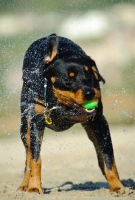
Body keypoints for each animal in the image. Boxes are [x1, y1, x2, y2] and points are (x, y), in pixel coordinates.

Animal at [18, 34, 124, 194]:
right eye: (68, 78)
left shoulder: (99, 121)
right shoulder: (36, 121)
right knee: (28, 155)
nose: (90, 93)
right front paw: (34, 187)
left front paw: (117, 186)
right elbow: (35, 159)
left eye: (89, 73)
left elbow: (108, 157)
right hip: (25, 127)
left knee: (100, 154)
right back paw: (25, 184)